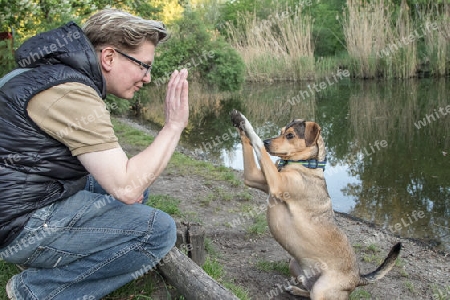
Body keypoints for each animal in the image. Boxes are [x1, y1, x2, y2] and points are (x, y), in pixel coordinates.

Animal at [230, 110, 400, 300]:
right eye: (281, 131)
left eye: (290, 135)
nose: (268, 142)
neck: (304, 164)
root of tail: (357, 279)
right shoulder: (253, 177)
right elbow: (250, 145)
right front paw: (238, 121)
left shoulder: (276, 183)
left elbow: (257, 144)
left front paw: (247, 124)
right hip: (293, 263)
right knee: (307, 288)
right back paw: (295, 289)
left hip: (322, 288)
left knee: (316, 294)